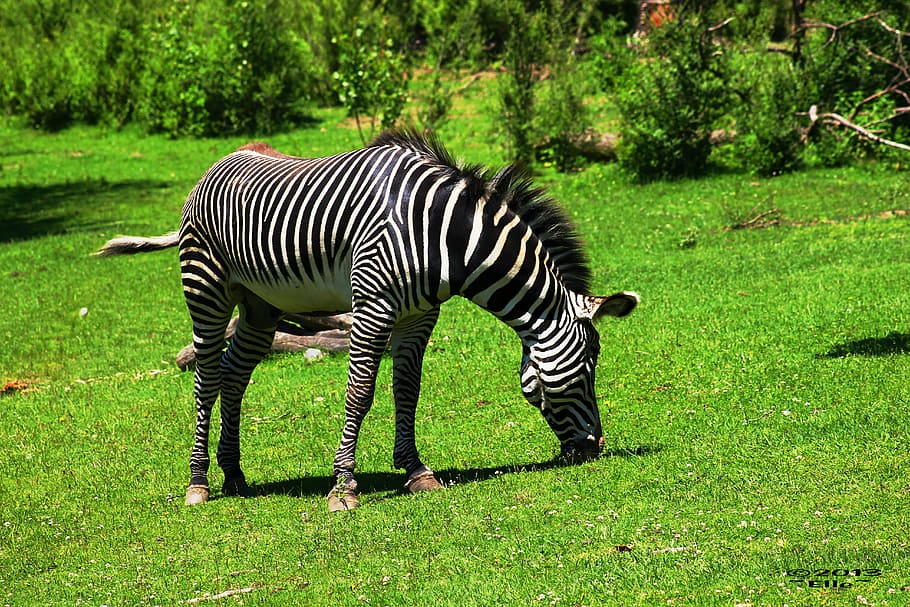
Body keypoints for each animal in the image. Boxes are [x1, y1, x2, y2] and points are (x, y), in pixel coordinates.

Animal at [96, 130, 639, 511]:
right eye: (589, 366)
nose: (595, 448)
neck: (447, 237)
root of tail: (214, 167)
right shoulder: (373, 301)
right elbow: (360, 393)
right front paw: (344, 488)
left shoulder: (421, 314)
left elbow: (407, 390)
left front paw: (416, 472)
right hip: (206, 287)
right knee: (207, 378)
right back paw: (200, 483)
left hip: (260, 305)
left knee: (234, 375)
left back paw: (234, 475)